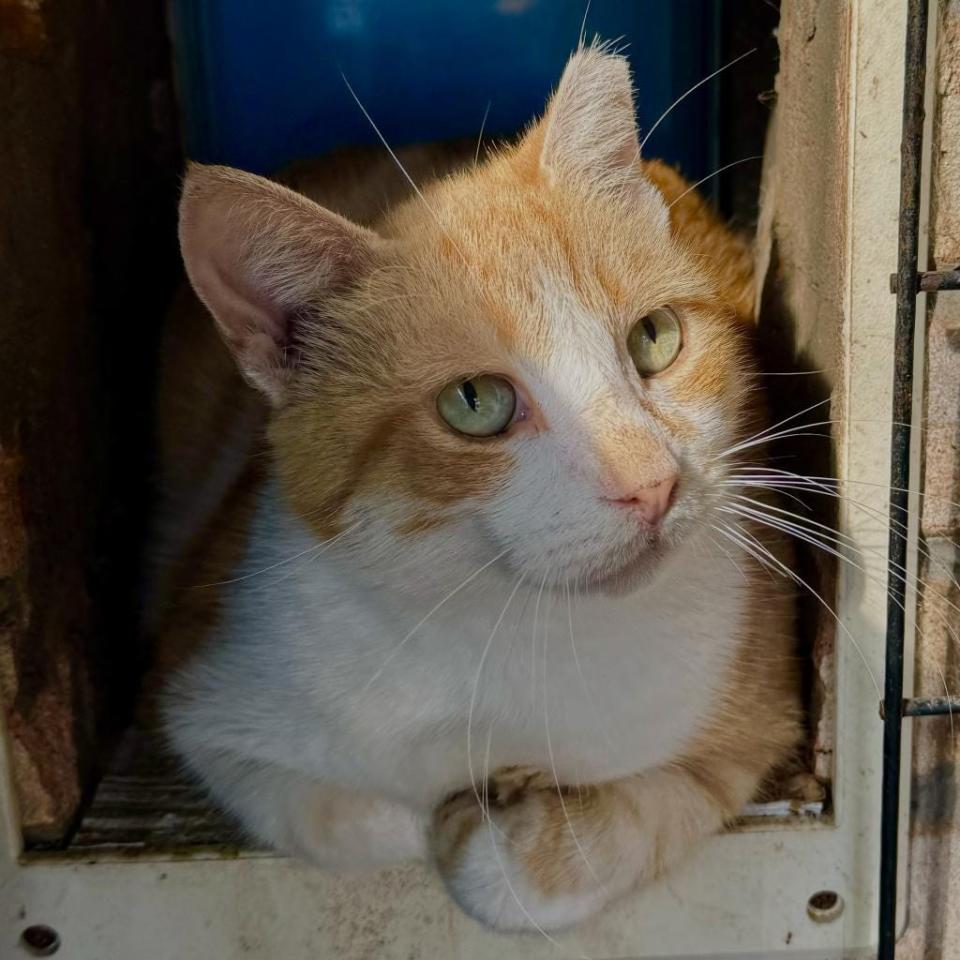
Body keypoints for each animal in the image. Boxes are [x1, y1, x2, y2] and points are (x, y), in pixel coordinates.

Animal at [154, 43, 804, 928]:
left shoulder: (755, 722)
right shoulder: (206, 688)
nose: (654, 485)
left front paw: (502, 845)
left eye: (655, 338)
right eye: (475, 403)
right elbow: (354, 820)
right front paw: (434, 816)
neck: (511, 627)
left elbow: (621, 830)